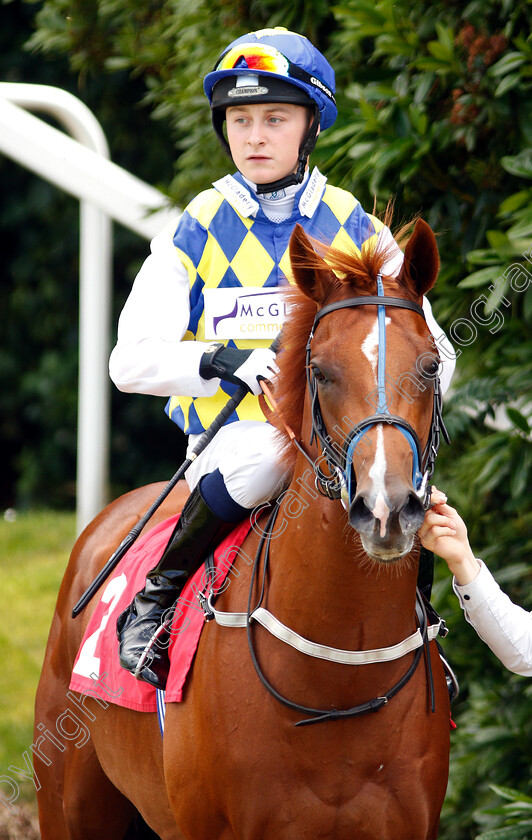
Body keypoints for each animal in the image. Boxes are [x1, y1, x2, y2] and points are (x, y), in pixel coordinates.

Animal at [34, 220, 448, 836]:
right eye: (319, 371)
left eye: (430, 365)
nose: (385, 509)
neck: (338, 681)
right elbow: (132, 353)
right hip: (68, 802)